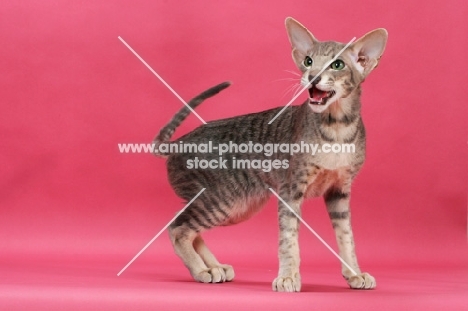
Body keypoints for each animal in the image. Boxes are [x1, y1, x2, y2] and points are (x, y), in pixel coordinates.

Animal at [152, 17, 386, 292]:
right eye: (308, 61)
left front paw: (355, 274)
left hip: (234, 206)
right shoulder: (290, 190)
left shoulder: (340, 191)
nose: (312, 77)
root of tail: (179, 142)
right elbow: (288, 239)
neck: (337, 128)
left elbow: (347, 237)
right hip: (221, 200)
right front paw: (287, 277)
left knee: (190, 228)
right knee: (177, 228)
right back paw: (202, 271)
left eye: (337, 64)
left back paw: (215, 267)